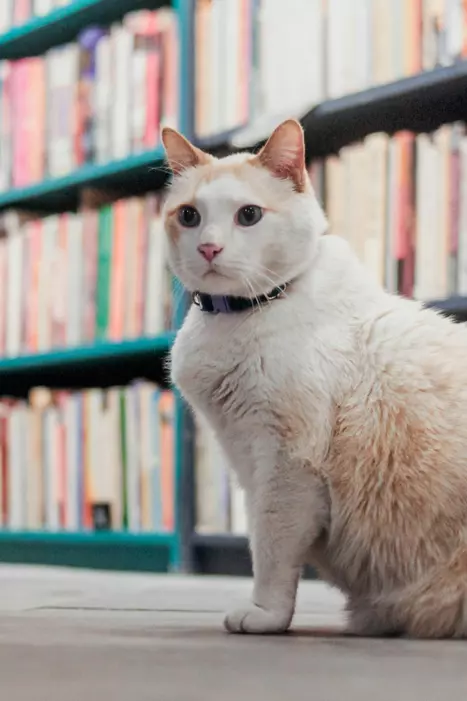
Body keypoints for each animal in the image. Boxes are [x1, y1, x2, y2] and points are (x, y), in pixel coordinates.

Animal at [162, 117, 467, 636]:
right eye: (188, 215)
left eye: (248, 215)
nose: (208, 247)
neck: (242, 315)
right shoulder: (248, 461)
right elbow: (259, 540)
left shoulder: (286, 466)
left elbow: (271, 552)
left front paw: (264, 616)